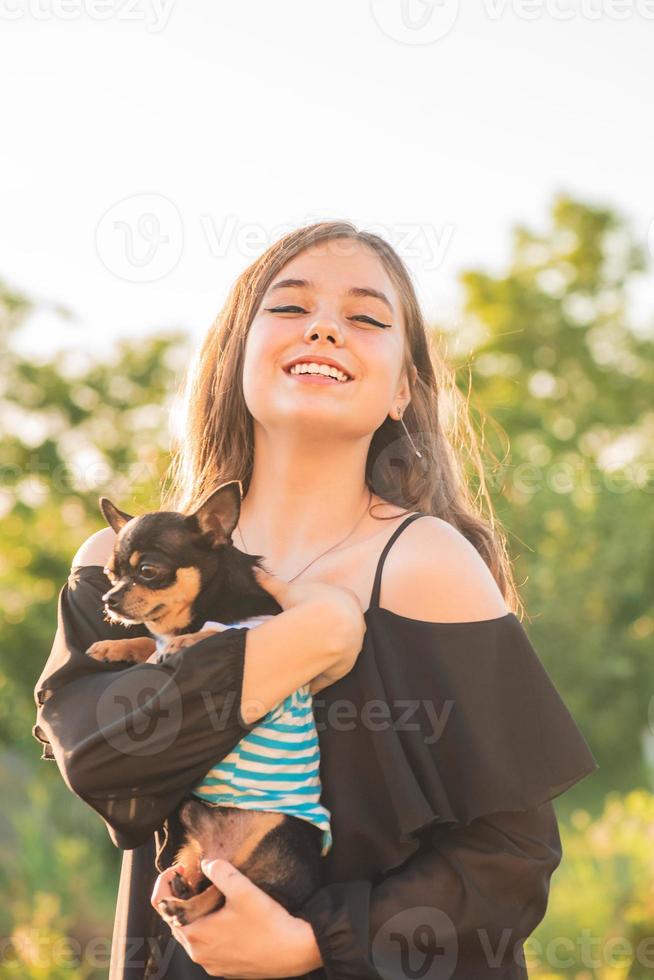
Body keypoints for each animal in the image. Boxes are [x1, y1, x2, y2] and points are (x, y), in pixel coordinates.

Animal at [86, 482, 328, 928]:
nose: (109, 598)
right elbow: (148, 641)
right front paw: (115, 647)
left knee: (226, 895)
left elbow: (215, 633)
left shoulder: (257, 628)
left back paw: (183, 907)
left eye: (148, 570)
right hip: (193, 831)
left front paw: (183, 642)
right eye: (110, 574)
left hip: (268, 841)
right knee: (207, 877)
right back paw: (183, 888)